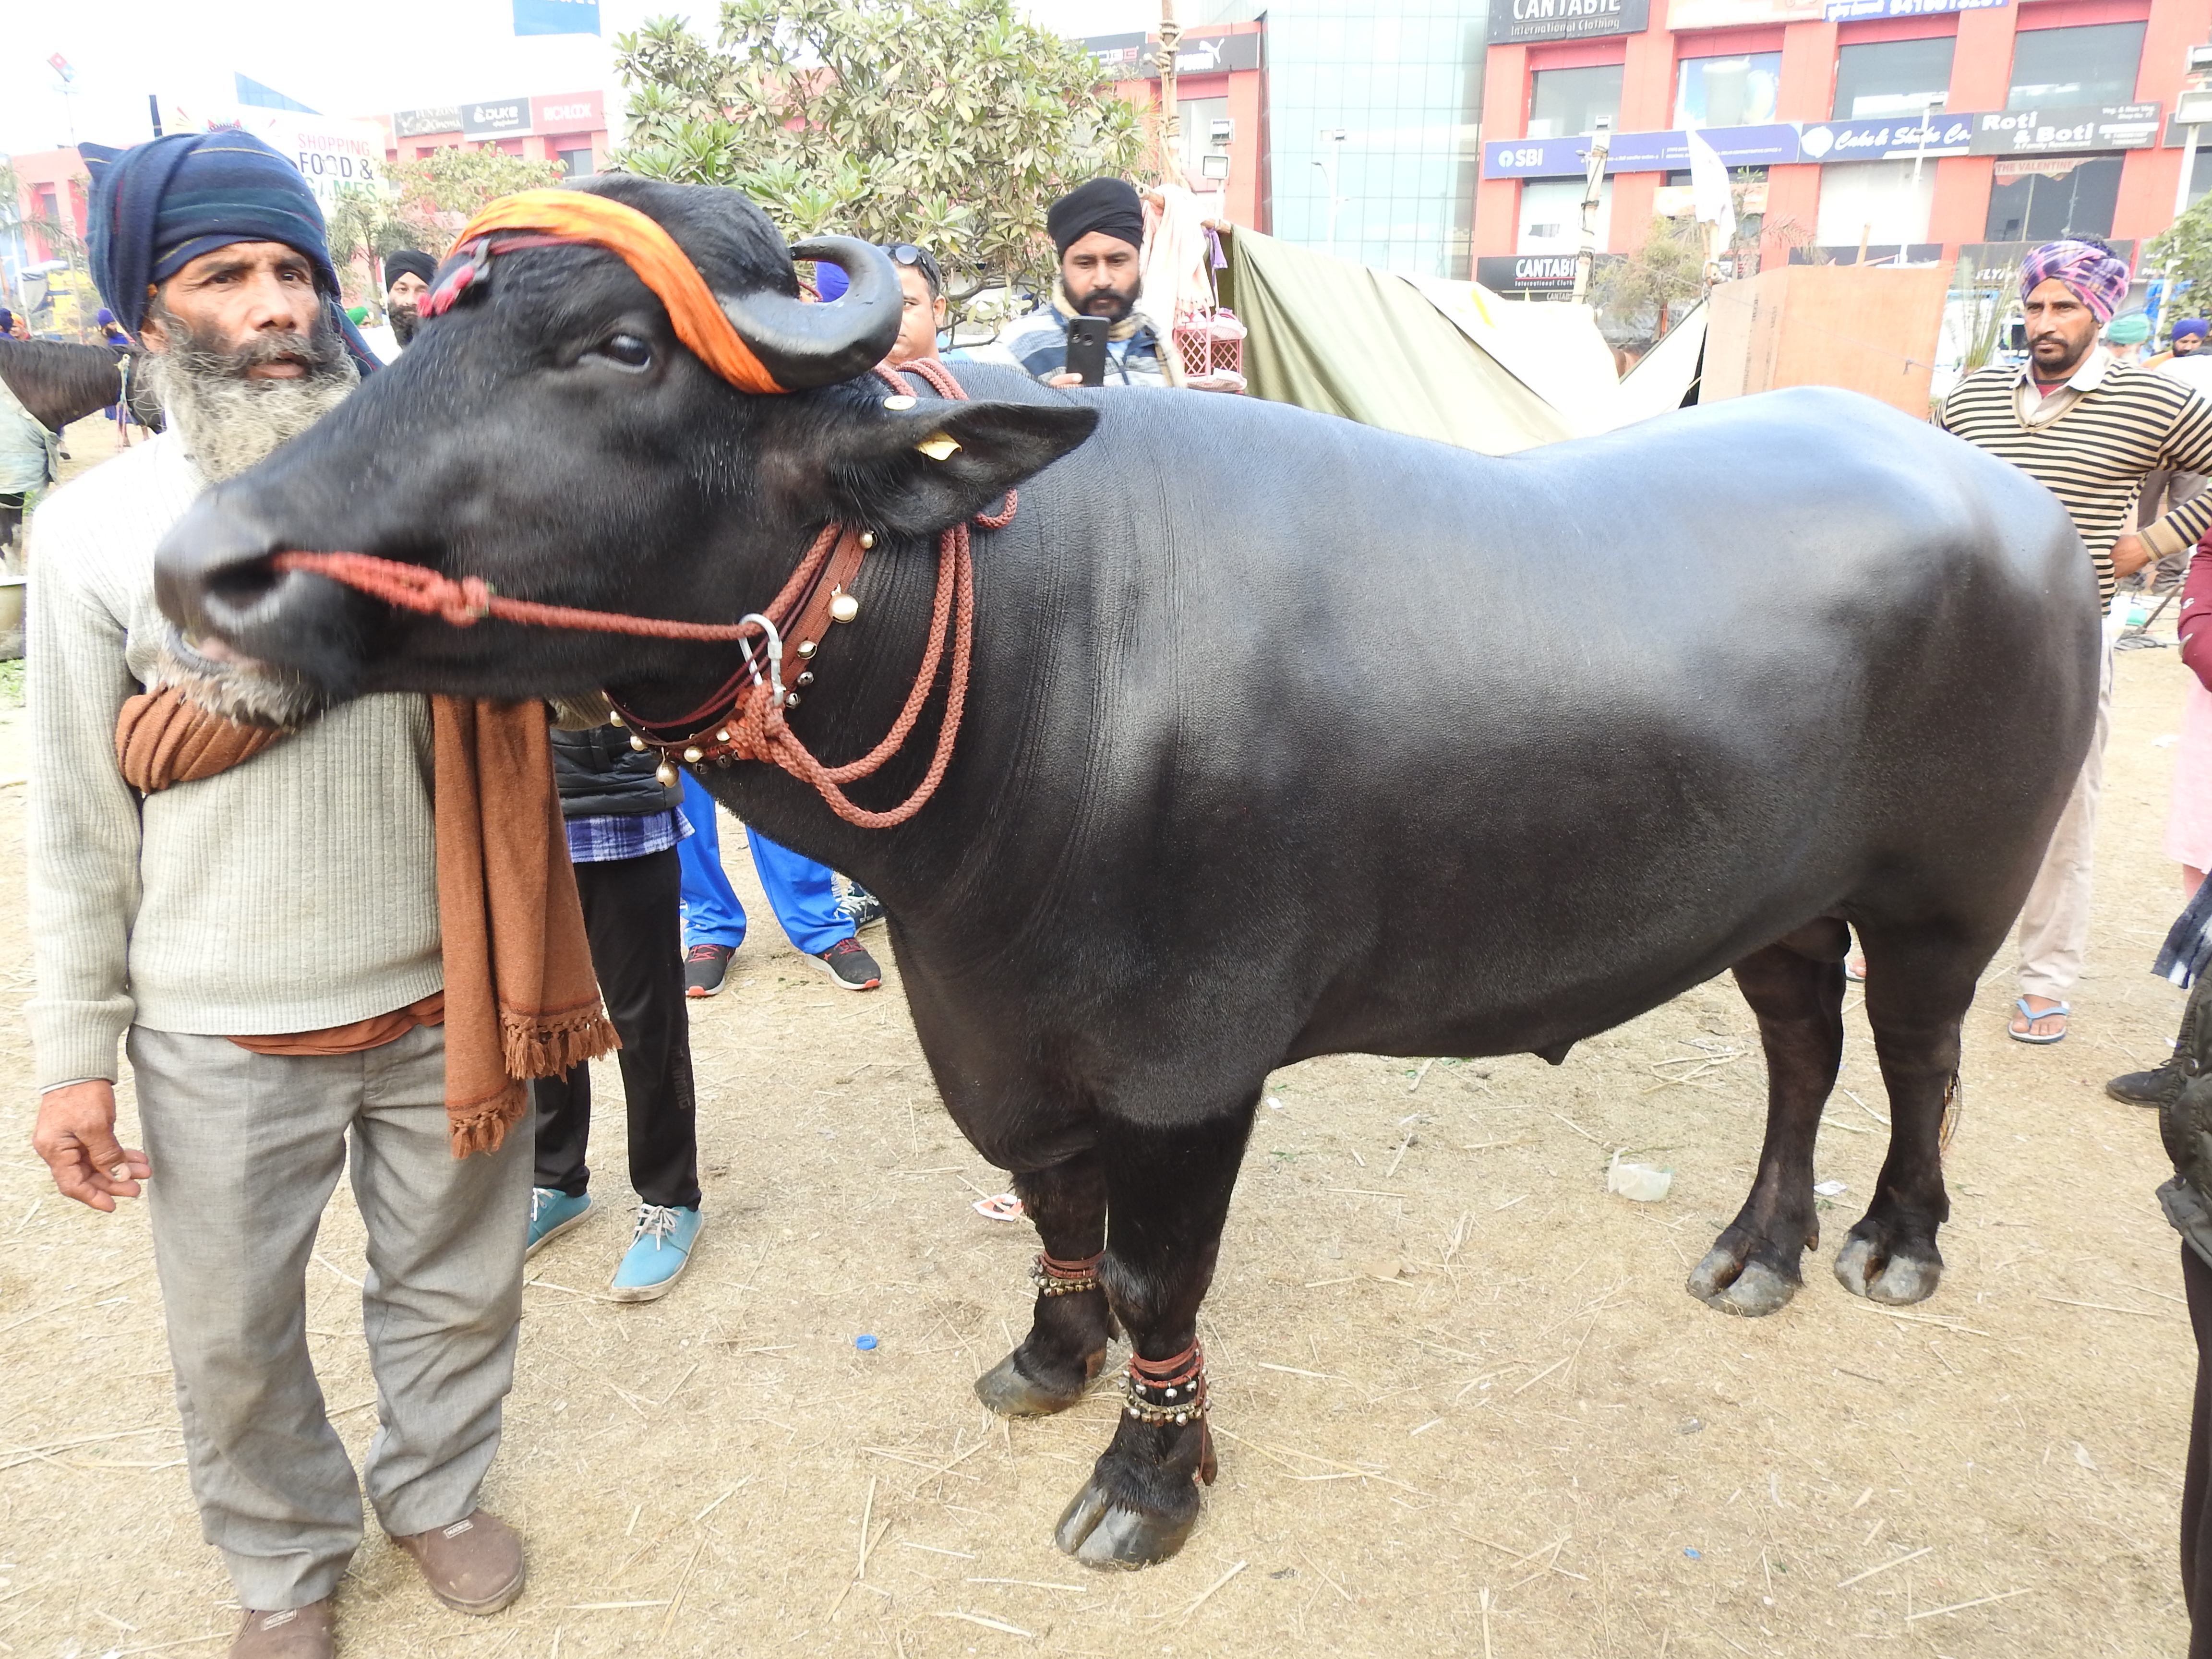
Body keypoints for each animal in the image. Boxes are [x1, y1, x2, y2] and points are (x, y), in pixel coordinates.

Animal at [156, 179, 2088, 1575]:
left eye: (618, 347)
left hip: (1952, 885)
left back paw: (1891, 1244)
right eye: (437, 324)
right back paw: (1756, 1246)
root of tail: (2019, 510)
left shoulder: (1189, 1064)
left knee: (1916, 1051)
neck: (1029, 655)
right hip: (1778, 900)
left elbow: (1162, 1277)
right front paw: (1045, 1358)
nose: (205, 565)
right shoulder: (998, 1022)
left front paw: (1147, 1475)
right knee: (1798, 1043)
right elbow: (1049, 1207)